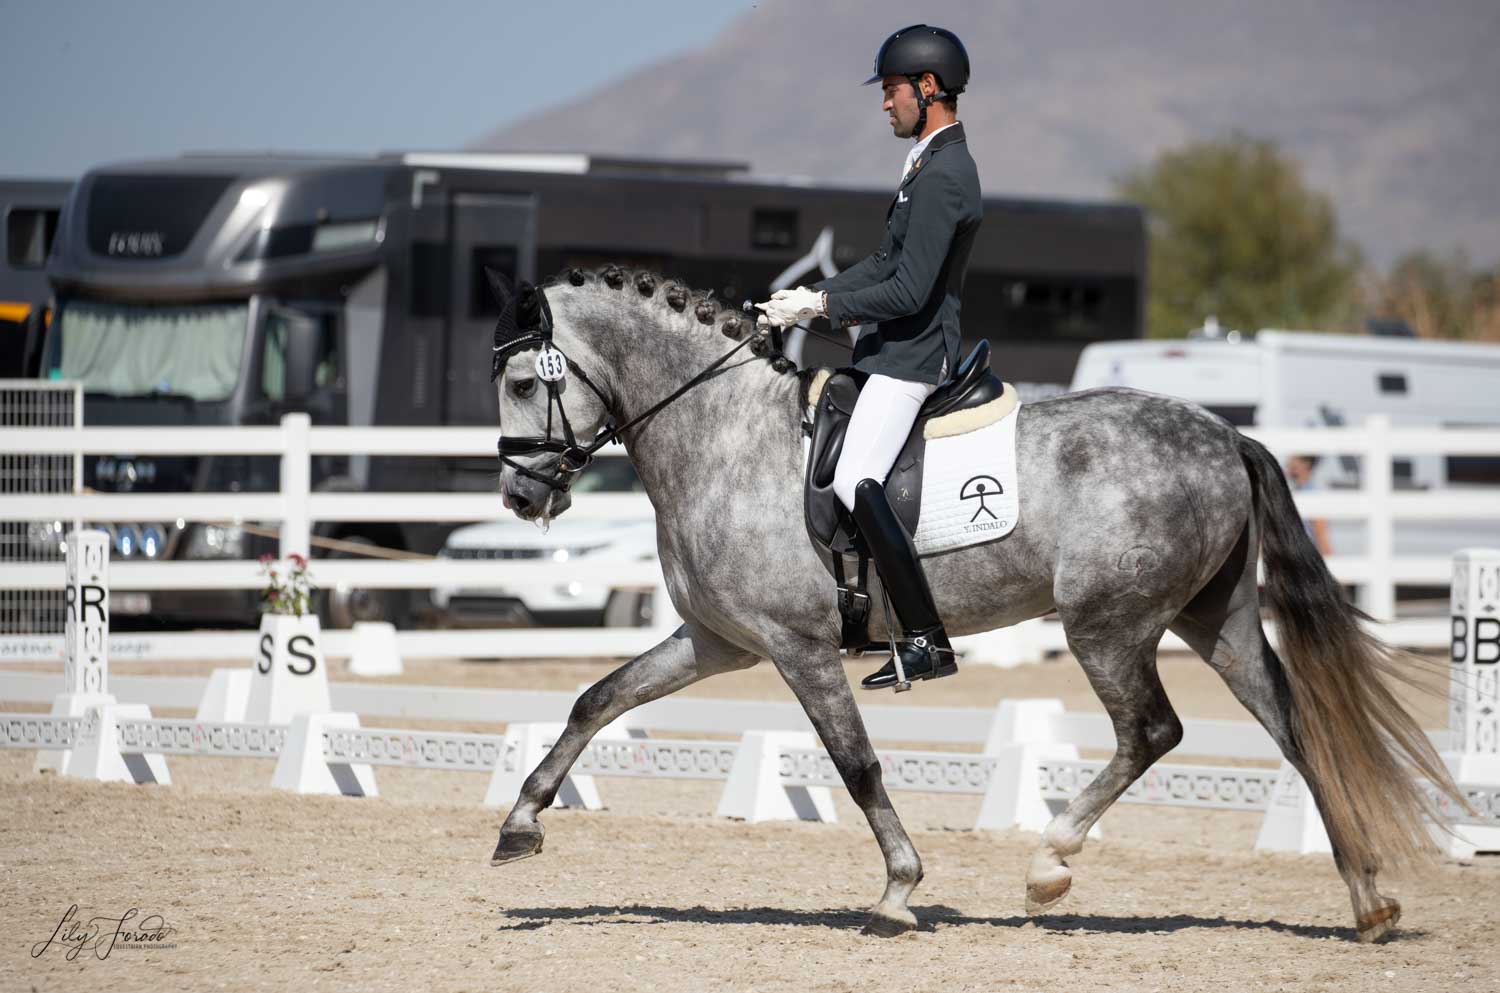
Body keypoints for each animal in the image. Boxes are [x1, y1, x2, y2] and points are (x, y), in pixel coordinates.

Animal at [489, 268, 1464, 948]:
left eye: (525, 384)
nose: (521, 497)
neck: (724, 436)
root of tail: (1226, 432)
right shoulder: (718, 640)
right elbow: (598, 698)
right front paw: (520, 823)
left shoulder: (797, 647)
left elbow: (857, 765)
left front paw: (898, 890)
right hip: (1211, 618)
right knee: (1290, 725)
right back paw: (1367, 897)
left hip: (1107, 624)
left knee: (1152, 730)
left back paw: (1048, 864)